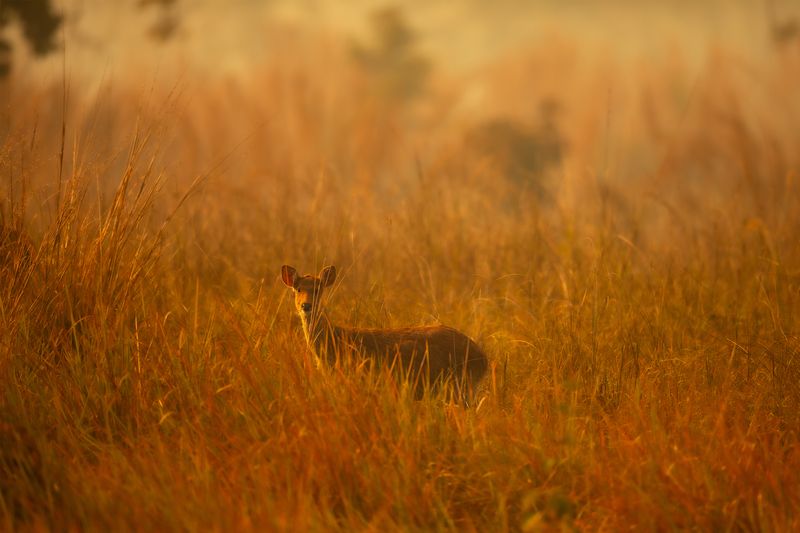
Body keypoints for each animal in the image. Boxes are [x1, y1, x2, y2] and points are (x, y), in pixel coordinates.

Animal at [281, 265, 488, 402]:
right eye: (298, 288)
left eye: (318, 289)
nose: (306, 306)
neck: (335, 341)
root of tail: (483, 358)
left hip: (459, 386)